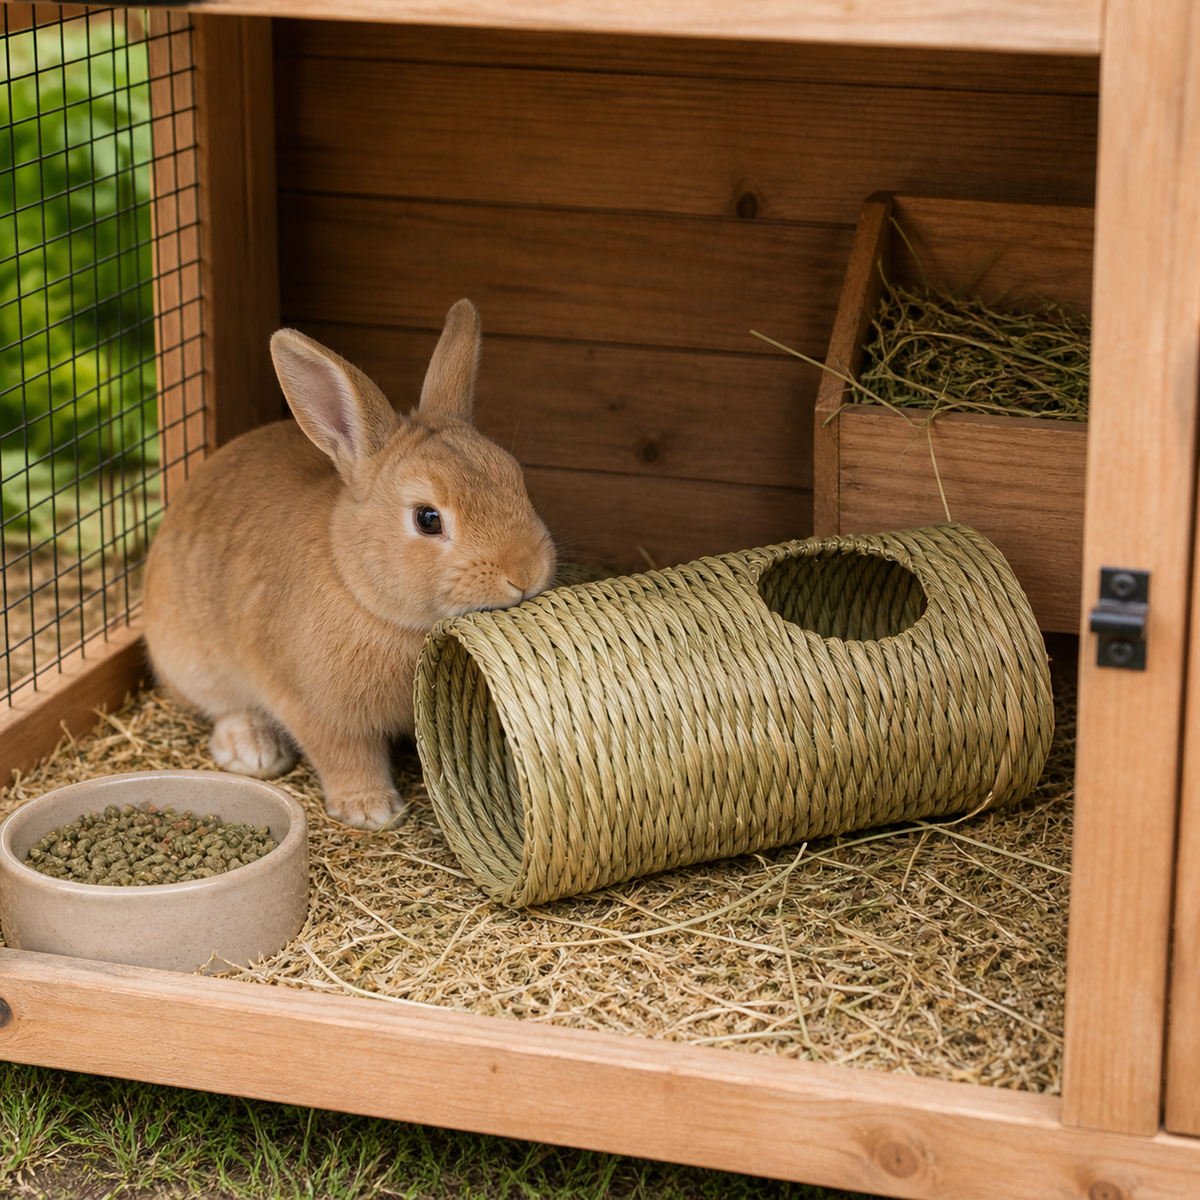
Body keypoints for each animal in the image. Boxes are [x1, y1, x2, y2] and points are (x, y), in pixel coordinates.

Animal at [142, 299, 557, 830]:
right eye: (427, 519)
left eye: (518, 482)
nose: (525, 573)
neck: (363, 590)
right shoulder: (313, 707)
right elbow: (343, 754)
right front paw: (371, 810)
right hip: (192, 659)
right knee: (221, 707)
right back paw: (253, 750)